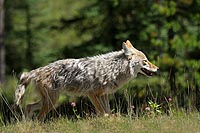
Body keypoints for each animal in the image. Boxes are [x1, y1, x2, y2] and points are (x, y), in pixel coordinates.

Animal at [13, 40, 158, 120]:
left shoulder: (104, 95)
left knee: (28, 107)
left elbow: (107, 111)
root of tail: (37, 70)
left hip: (50, 101)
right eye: (145, 61)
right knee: (37, 117)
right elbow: (103, 112)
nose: (157, 68)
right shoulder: (92, 94)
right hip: (51, 102)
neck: (113, 69)